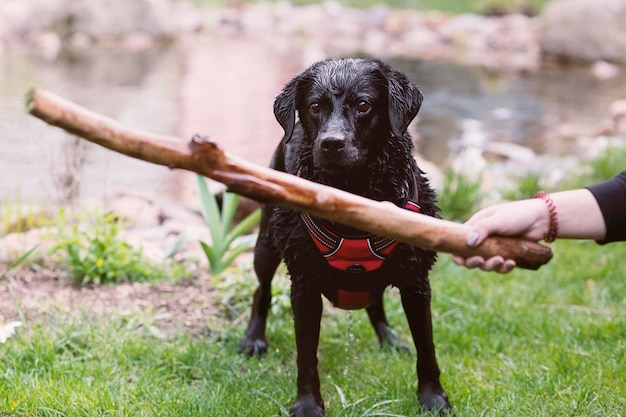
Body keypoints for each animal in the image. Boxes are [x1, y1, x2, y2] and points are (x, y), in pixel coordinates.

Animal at [238, 58, 448, 416]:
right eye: (314, 106)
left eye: (363, 105)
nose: (331, 143)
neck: (353, 194)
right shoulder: (304, 286)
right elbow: (306, 356)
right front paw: (307, 405)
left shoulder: (416, 282)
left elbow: (427, 347)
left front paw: (433, 398)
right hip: (266, 242)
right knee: (261, 289)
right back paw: (254, 339)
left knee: (375, 303)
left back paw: (389, 339)